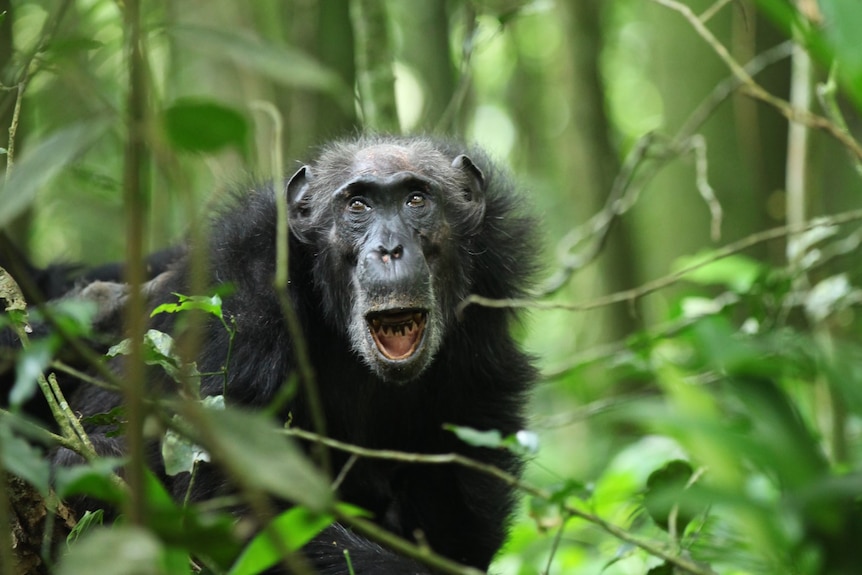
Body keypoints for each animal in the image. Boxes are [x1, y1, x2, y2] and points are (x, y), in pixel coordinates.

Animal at [3, 134, 536, 572]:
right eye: (358, 205)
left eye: (416, 199)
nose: (389, 248)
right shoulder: (247, 298)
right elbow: (231, 499)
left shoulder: (483, 330)